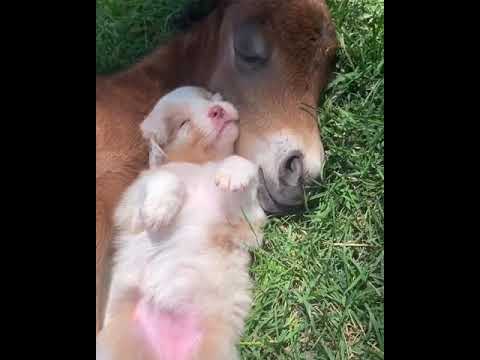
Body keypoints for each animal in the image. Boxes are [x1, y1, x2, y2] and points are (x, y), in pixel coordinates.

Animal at [98, 87, 268, 360]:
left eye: (209, 97)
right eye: (183, 124)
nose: (217, 110)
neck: (199, 164)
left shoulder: (247, 223)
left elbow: (241, 166)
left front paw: (233, 172)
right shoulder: (130, 205)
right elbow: (166, 177)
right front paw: (159, 210)